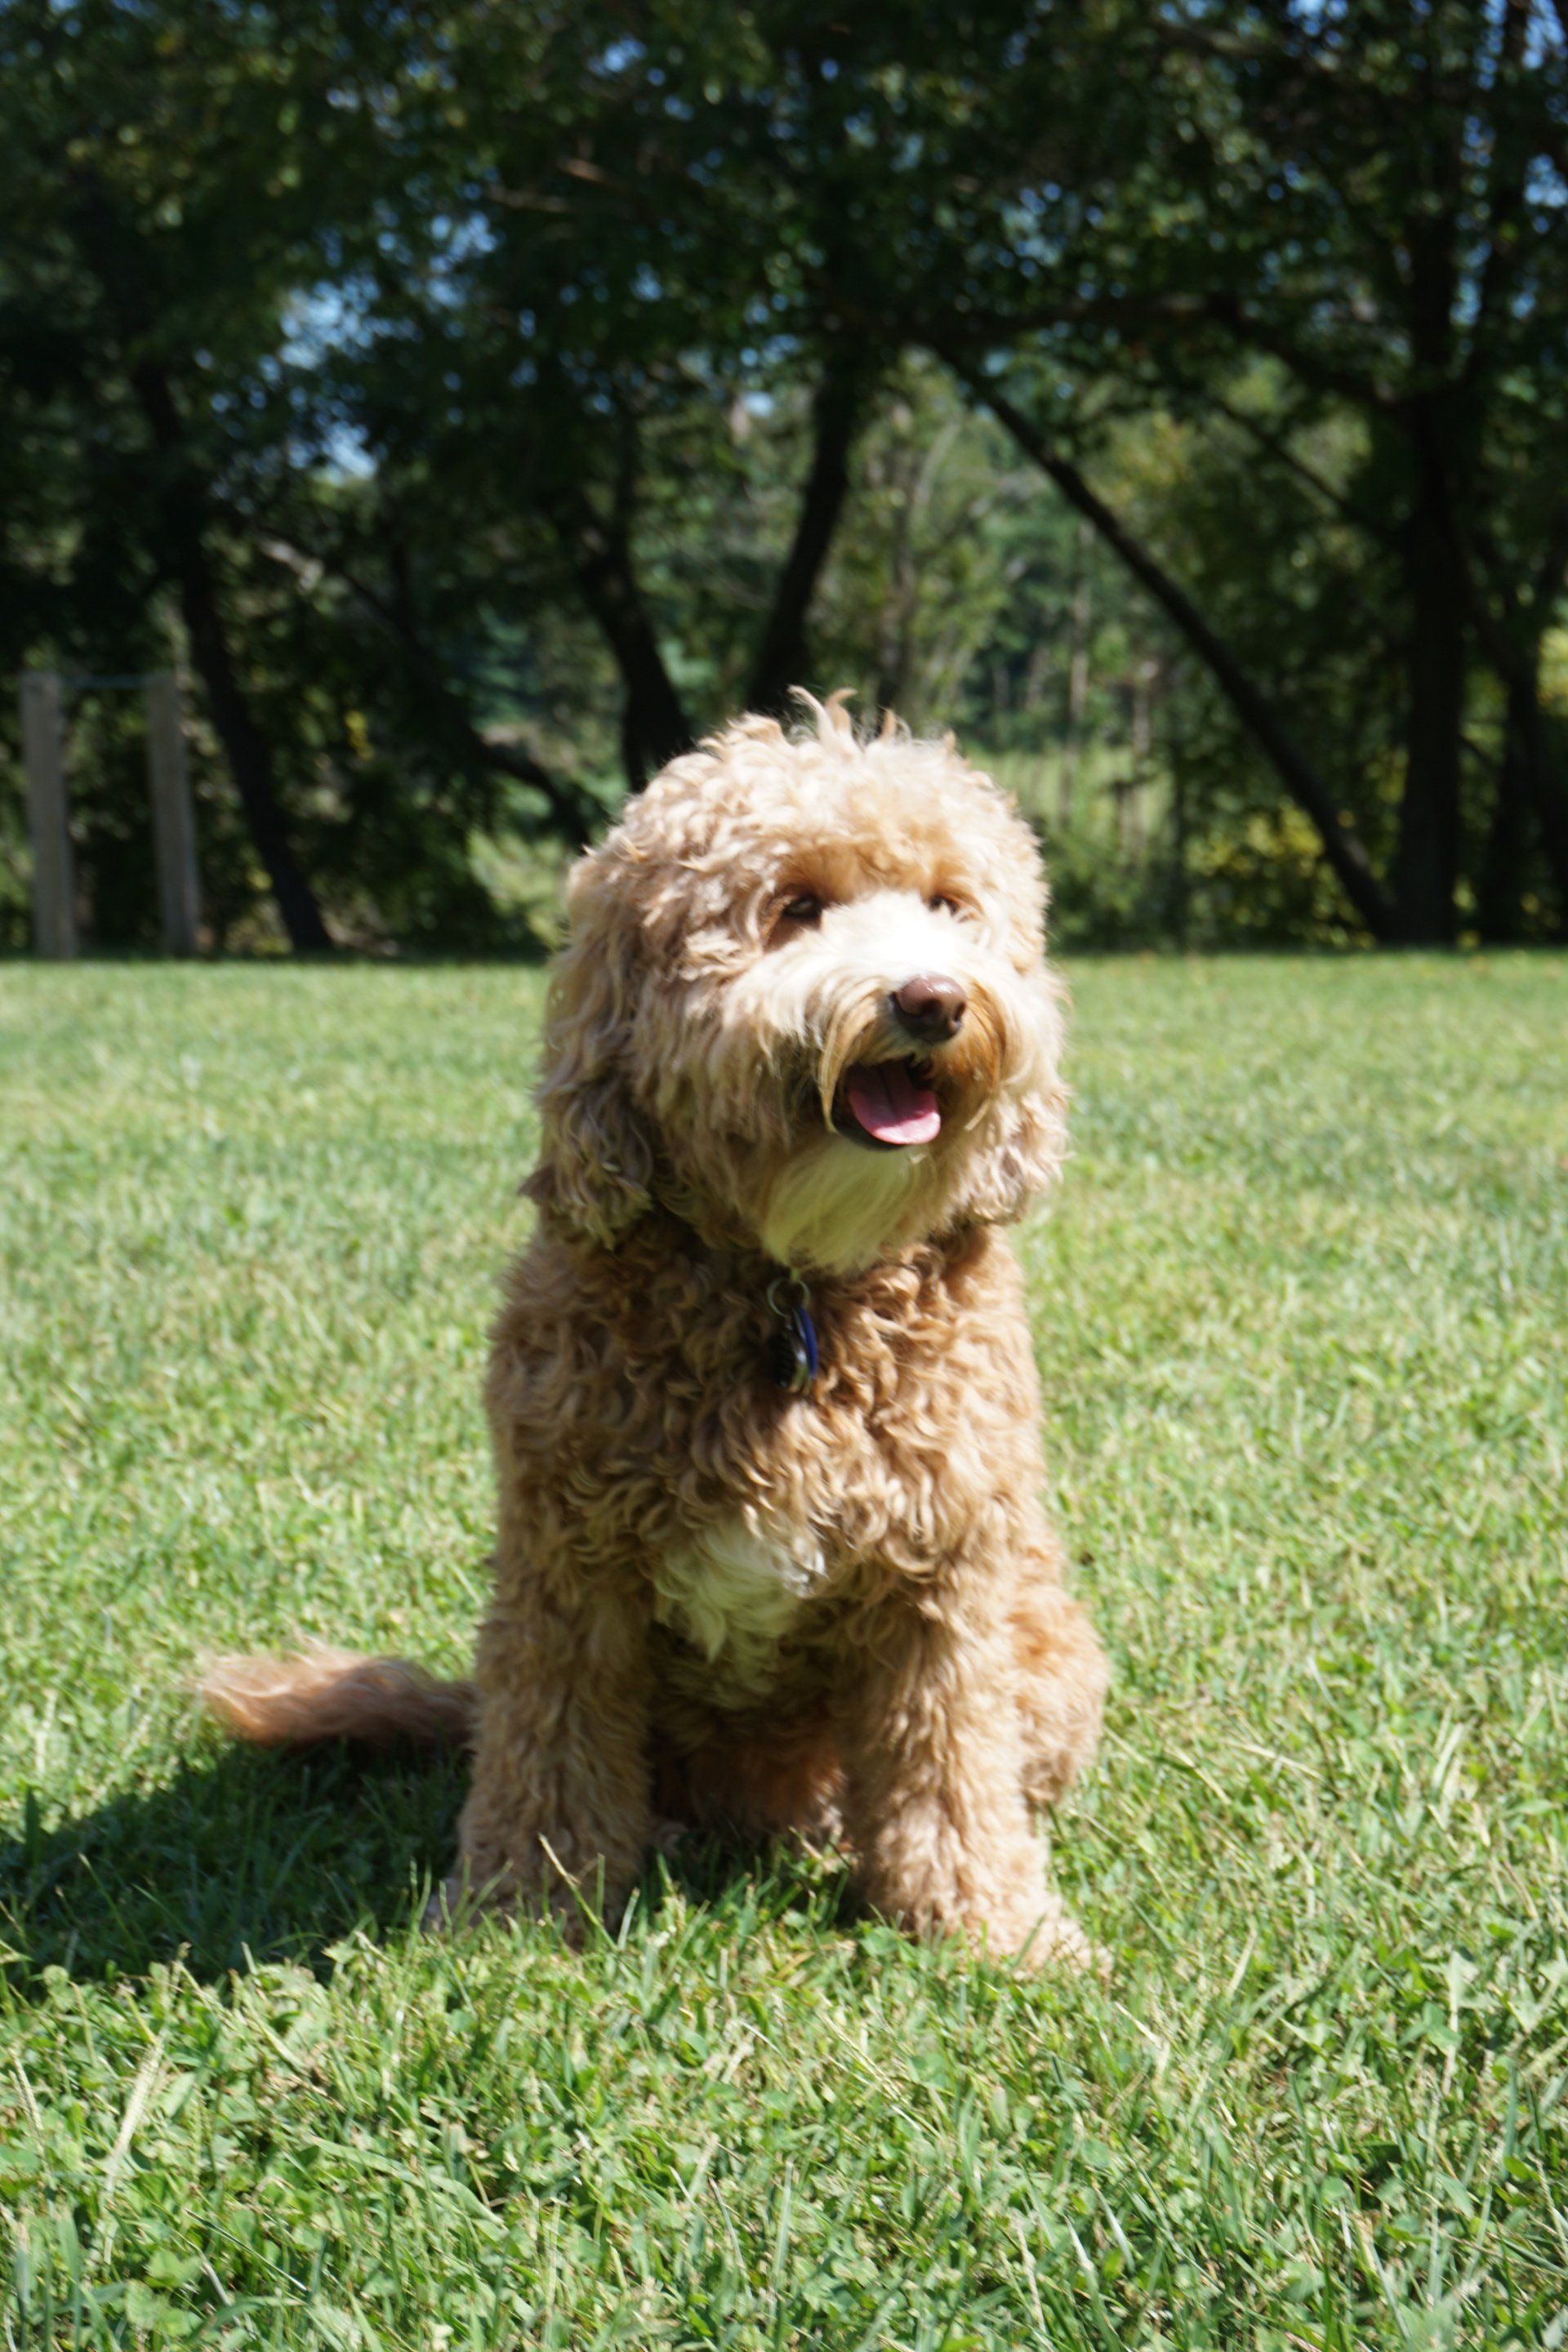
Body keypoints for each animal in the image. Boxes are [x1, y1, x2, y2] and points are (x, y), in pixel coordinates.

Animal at [207, 691, 1109, 1966]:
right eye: (796, 906)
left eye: (951, 906)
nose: (934, 999)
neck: (791, 1294)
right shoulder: (565, 1571)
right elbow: (548, 1750)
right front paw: (517, 1910)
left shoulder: (942, 1582)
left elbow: (951, 1767)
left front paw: (993, 1927)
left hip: (1056, 1649)